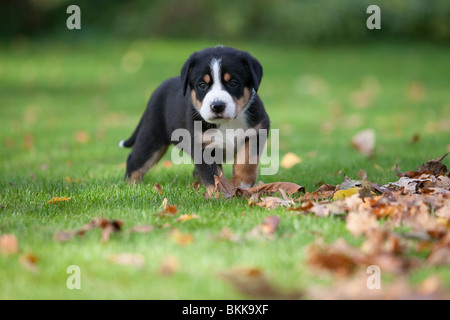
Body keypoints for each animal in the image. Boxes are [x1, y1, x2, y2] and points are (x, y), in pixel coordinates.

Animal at [118, 46, 270, 189]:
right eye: (202, 85)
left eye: (233, 83)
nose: (217, 106)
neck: (226, 124)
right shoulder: (201, 144)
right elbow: (213, 175)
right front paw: (221, 194)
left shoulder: (258, 130)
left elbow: (247, 160)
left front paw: (242, 183)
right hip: (152, 136)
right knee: (135, 161)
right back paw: (131, 186)